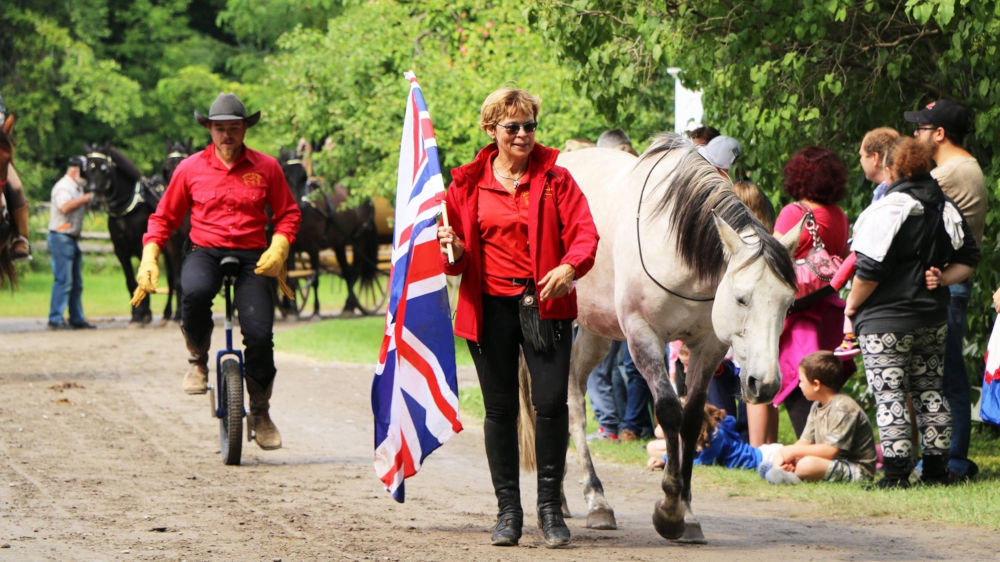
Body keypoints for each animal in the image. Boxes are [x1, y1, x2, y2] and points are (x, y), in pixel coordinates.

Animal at [83, 142, 181, 322]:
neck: (127, 212)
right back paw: (167, 313)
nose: (93, 202)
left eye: (104, 170)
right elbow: (130, 281)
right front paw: (137, 315)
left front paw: (145, 314)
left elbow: (143, 278)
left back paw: (176, 313)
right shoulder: (120, 251)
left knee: (175, 278)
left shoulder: (142, 248)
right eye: (87, 170)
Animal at [536, 133, 800, 540]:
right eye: (742, 298)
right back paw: (596, 500)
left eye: (788, 305)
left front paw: (687, 513)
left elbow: (692, 419)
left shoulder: (709, 346)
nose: (765, 383)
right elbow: (668, 411)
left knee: (572, 393)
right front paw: (670, 510)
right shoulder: (642, 335)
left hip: (595, 332)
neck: (675, 248)